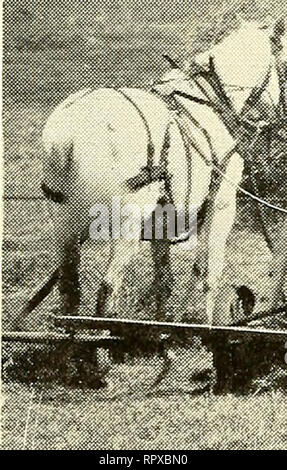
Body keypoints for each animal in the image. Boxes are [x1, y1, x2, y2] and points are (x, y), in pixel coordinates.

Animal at [41, 19, 286, 326]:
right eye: (282, 65)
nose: (279, 118)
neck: (209, 98)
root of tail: (67, 134)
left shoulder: (161, 221)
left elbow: (163, 282)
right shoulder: (221, 206)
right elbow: (208, 273)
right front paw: (201, 323)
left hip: (64, 225)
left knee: (69, 294)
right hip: (127, 223)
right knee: (106, 295)